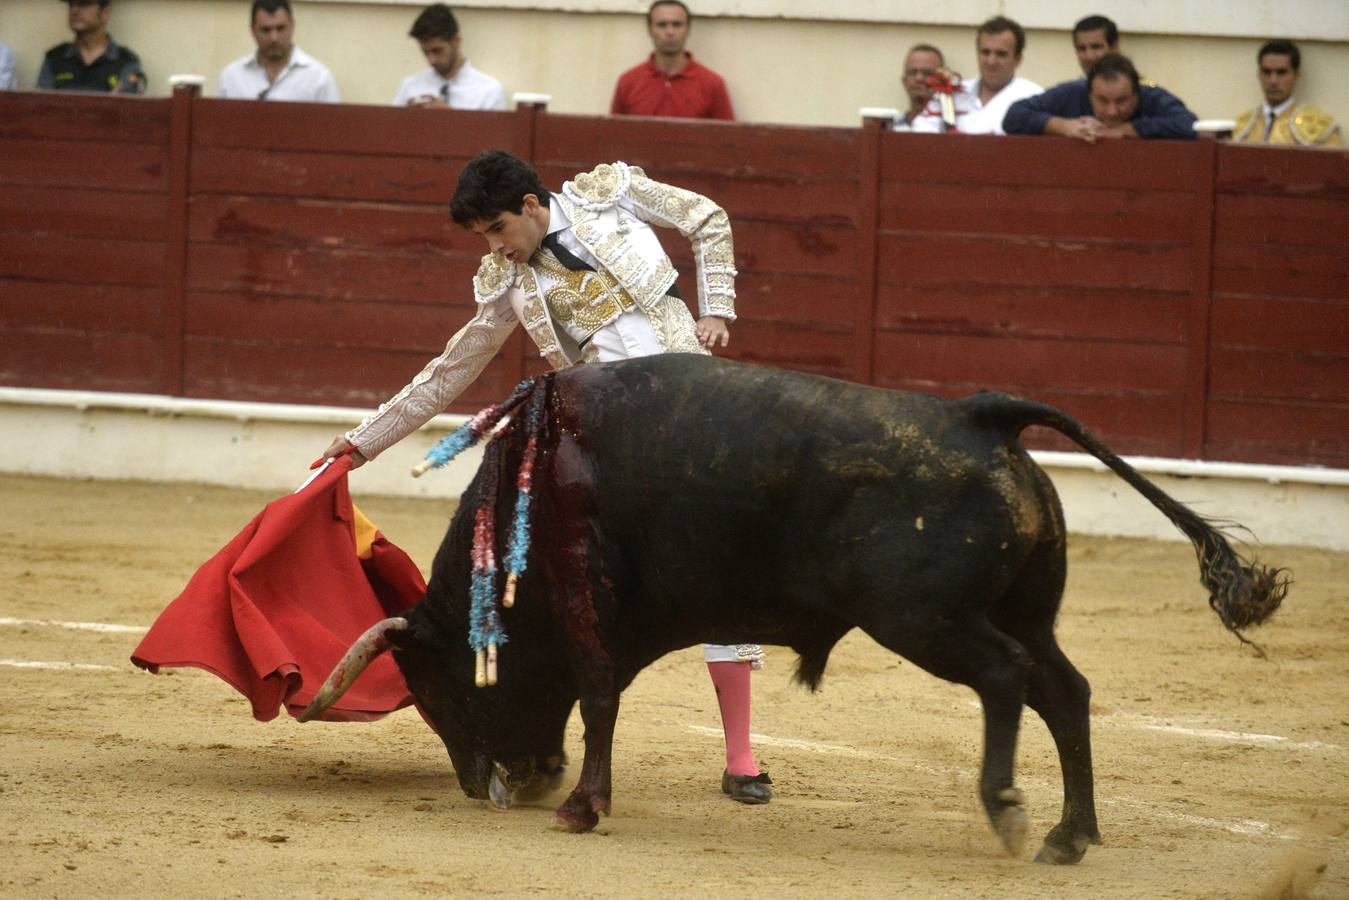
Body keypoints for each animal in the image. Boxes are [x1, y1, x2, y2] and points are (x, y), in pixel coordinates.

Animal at [303, 353, 1284, 863]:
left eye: (438, 694)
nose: (486, 787)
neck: (533, 481)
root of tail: (979, 417)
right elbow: (600, 696)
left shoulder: (588, 604)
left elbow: (598, 696)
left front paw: (581, 806)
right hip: (1023, 612)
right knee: (1064, 691)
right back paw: (1068, 835)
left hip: (925, 621)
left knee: (1008, 682)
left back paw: (1007, 810)